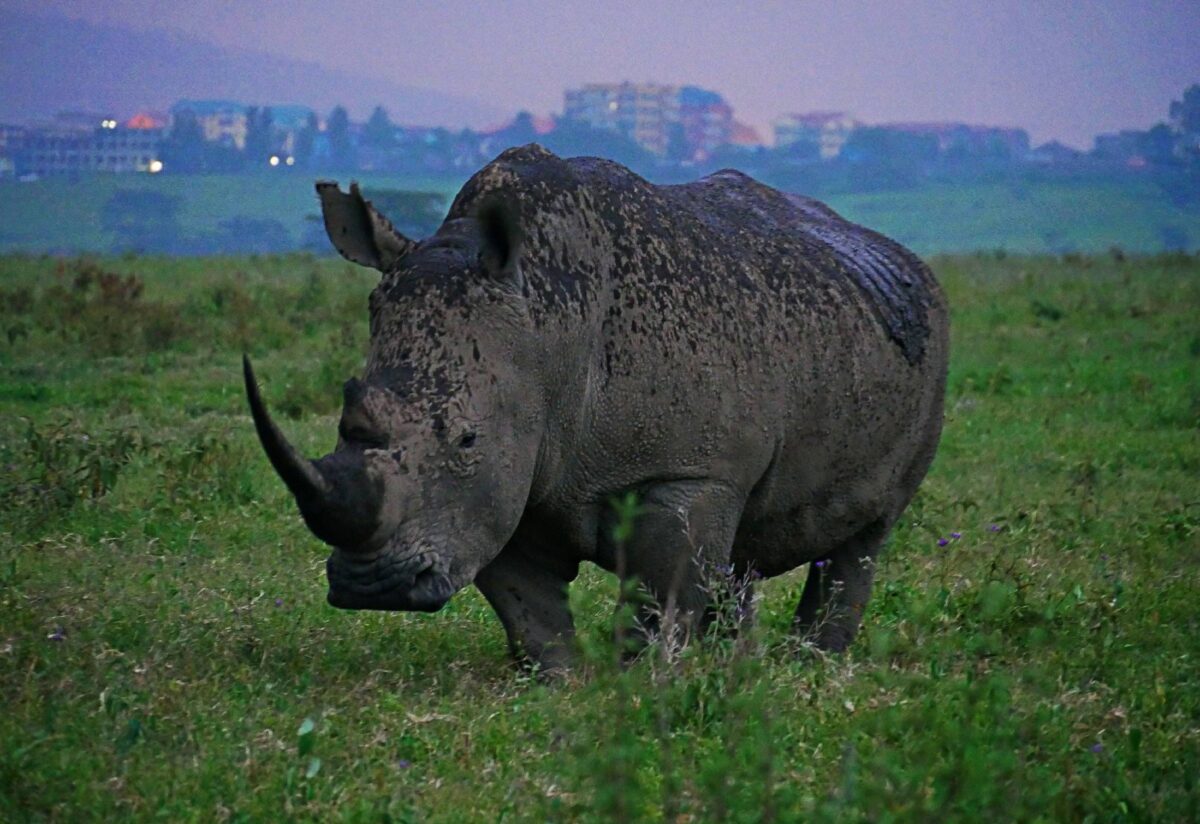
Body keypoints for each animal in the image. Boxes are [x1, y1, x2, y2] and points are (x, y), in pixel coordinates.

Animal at [244, 144, 948, 672]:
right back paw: (745, 668)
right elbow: (526, 607)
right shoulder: (509, 475)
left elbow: (661, 594)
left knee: (865, 537)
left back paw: (814, 666)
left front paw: (642, 682)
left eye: (467, 439)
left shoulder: (686, 470)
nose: (373, 588)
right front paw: (563, 682)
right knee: (742, 549)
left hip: (926, 352)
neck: (548, 325)